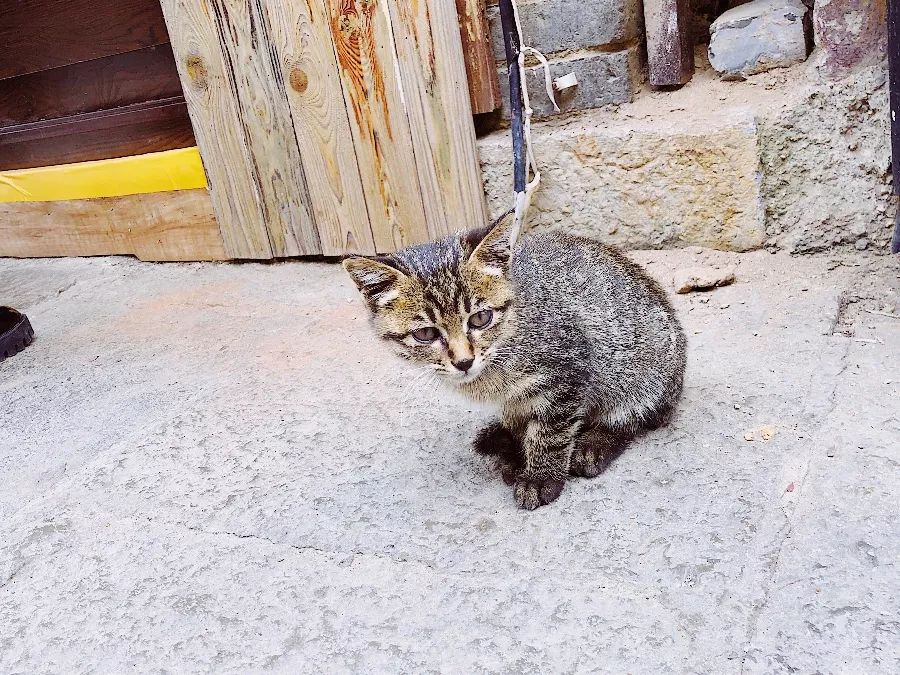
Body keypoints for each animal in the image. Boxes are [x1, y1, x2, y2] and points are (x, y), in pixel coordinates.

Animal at [342, 214, 684, 510]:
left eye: (480, 318)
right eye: (426, 333)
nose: (464, 361)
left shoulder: (569, 372)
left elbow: (549, 432)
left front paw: (540, 477)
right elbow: (522, 420)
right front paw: (517, 451)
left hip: (646, 367)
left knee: (637, 415)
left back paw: (594, 444)